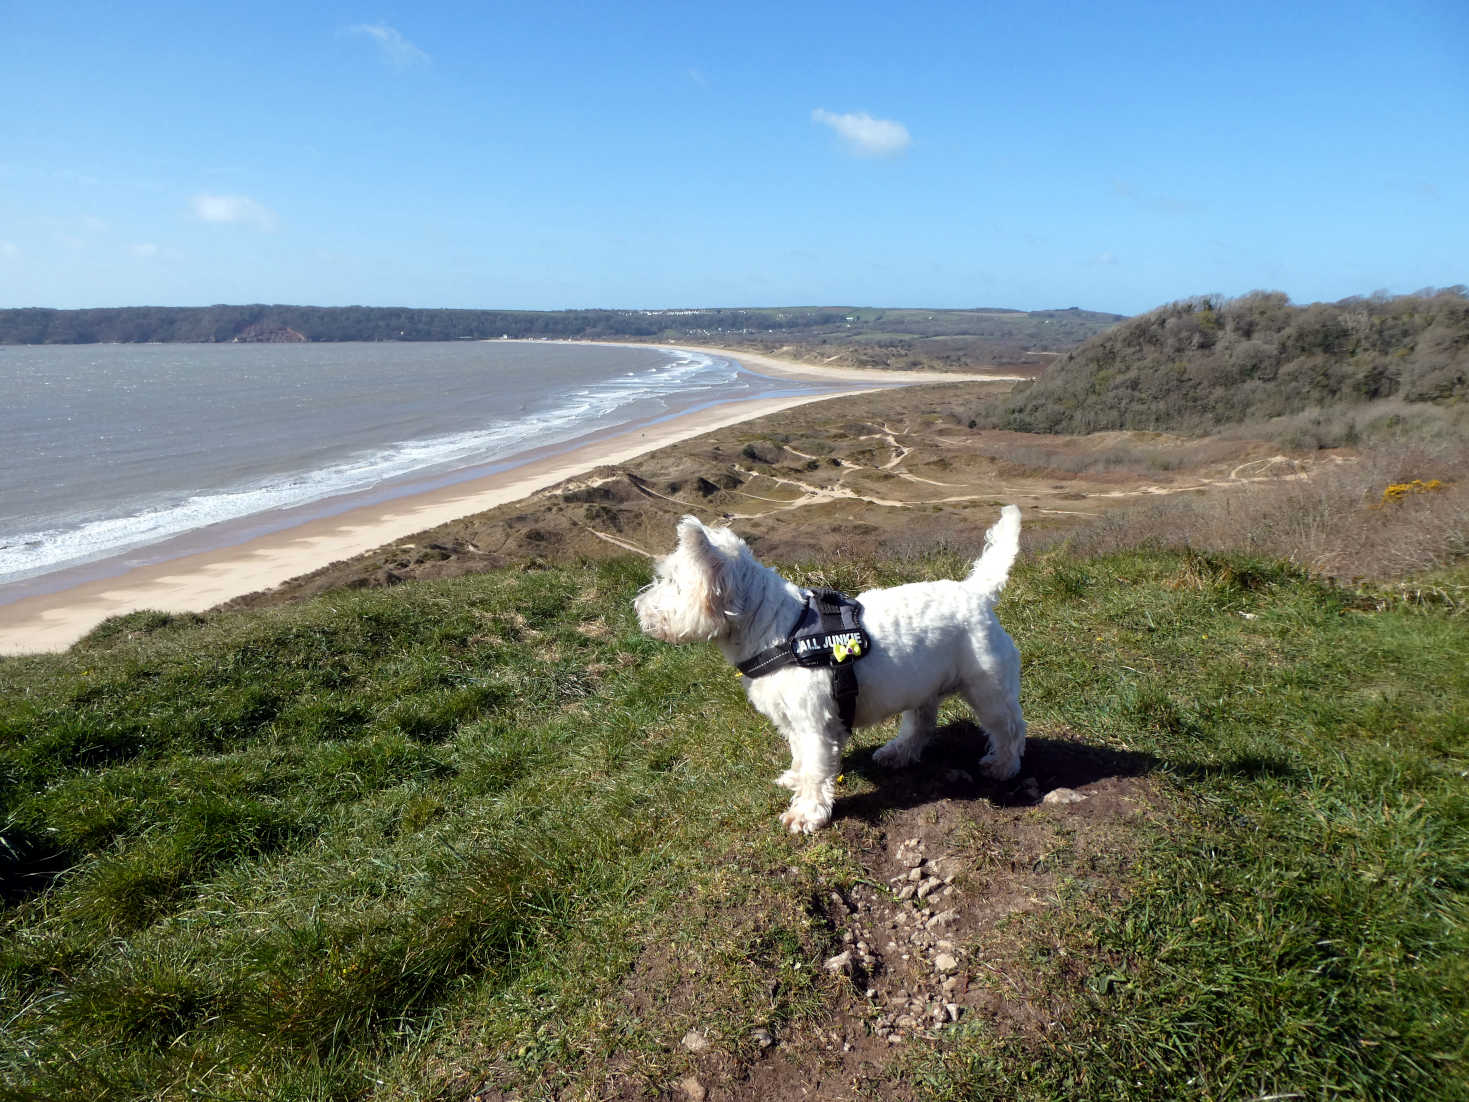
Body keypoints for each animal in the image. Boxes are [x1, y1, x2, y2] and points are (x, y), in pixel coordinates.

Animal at [637, 508, 1028, 834]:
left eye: (671, 582)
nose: (638, 608)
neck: (776, 629)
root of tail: (976, 593)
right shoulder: (791, 719)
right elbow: (799, 755)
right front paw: (793, 778)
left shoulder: (815, 723)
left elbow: (815, 767)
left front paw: (804, 814)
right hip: (922, 684)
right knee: (922, 722)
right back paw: (897, 752)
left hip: (987, 686)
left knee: (1008, 727)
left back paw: (1002, 765)